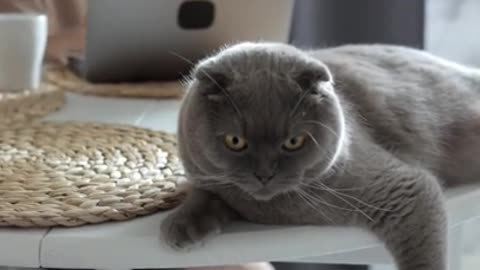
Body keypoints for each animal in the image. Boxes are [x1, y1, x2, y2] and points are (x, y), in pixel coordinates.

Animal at [161, 42, 480, 270]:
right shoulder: (207, 176)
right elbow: (206, 192)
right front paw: (183, 226)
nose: (264, 175)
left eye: (293, 142)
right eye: (235, 141)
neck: (269, 210)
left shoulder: (405, 189)